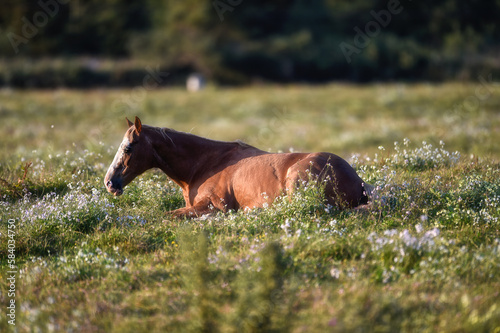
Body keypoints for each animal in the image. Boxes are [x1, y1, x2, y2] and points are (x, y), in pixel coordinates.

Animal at [104, 116, 372, 218]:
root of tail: (356, 179)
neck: (204, 165)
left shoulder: (213, 206)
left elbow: (168, 215)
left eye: (128, 148)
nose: (109, 183)